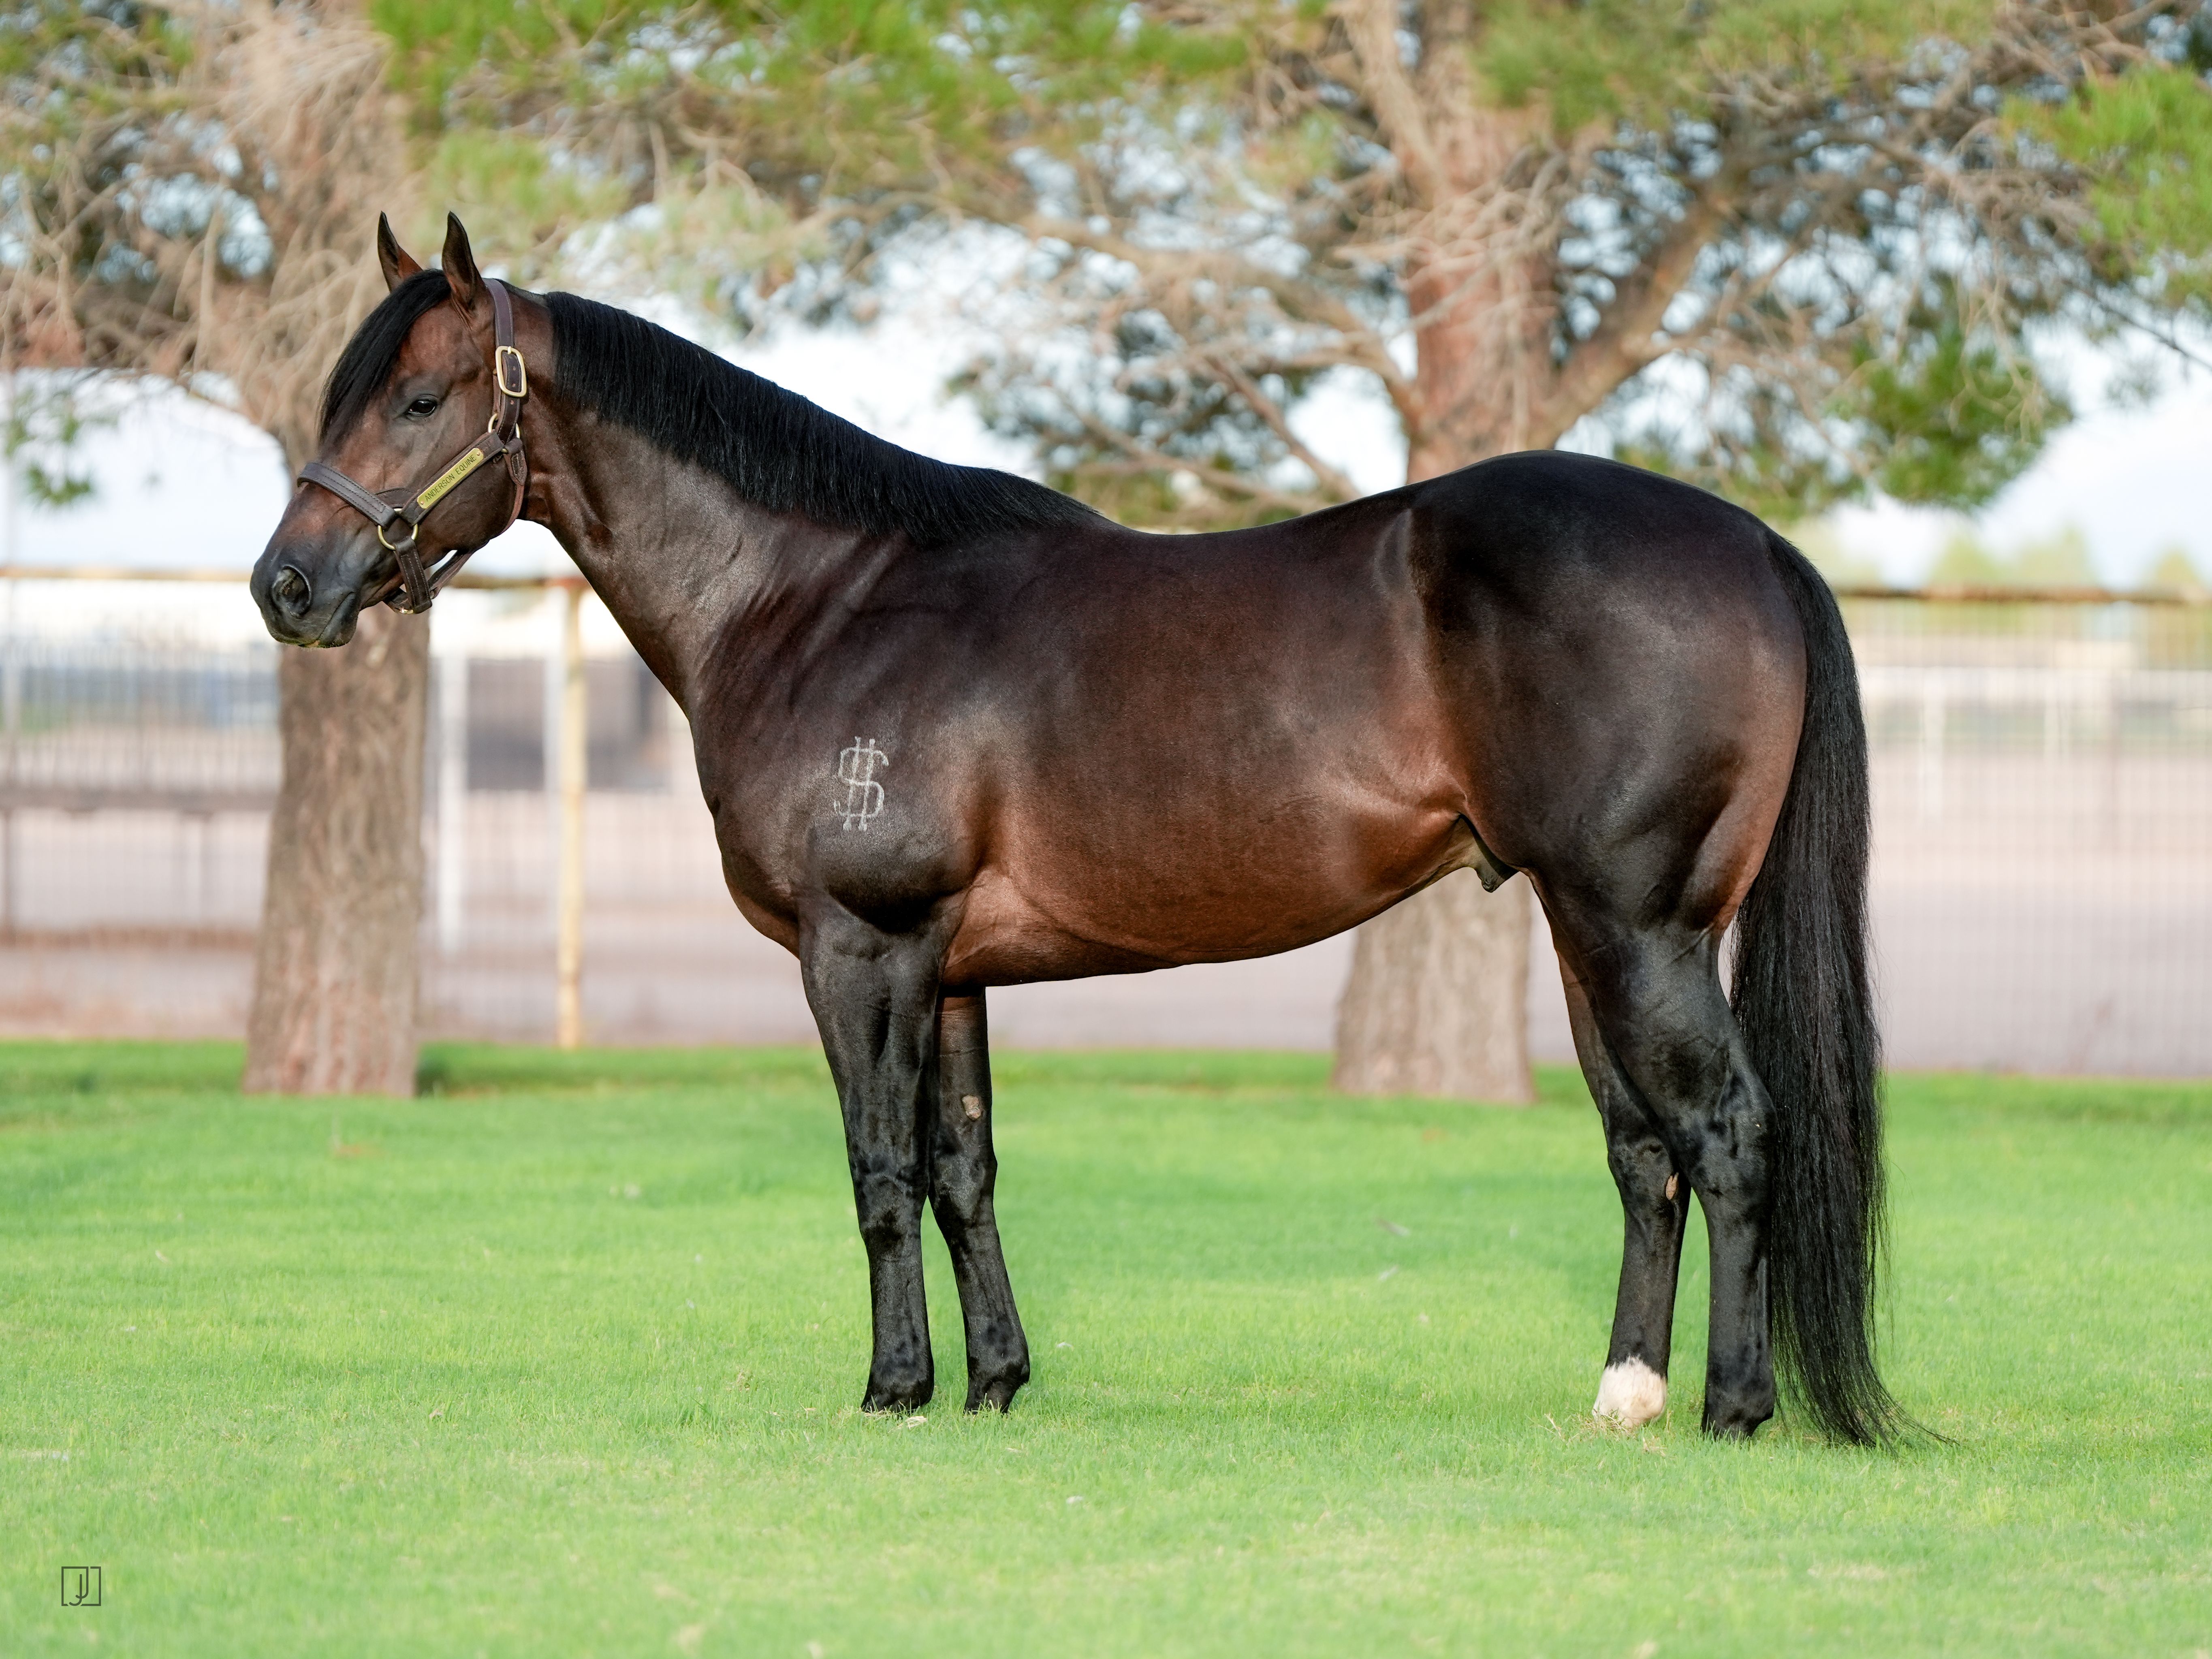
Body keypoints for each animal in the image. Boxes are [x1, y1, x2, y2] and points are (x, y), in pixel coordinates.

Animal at [253, 214, 1901, 1444]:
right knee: (1642, 1151)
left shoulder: (860, 949)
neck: (819, 601)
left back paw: (1733, 1408)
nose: (288, 588)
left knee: (1728, 1134)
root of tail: (1752, 542)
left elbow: (876, 1170)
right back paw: (1625, 1395)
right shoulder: (952, 968)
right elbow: (963, 1172)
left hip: (1640, 930)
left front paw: (894, 1390)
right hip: (1584, 932)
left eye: (417, 401)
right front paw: (994, 1383)